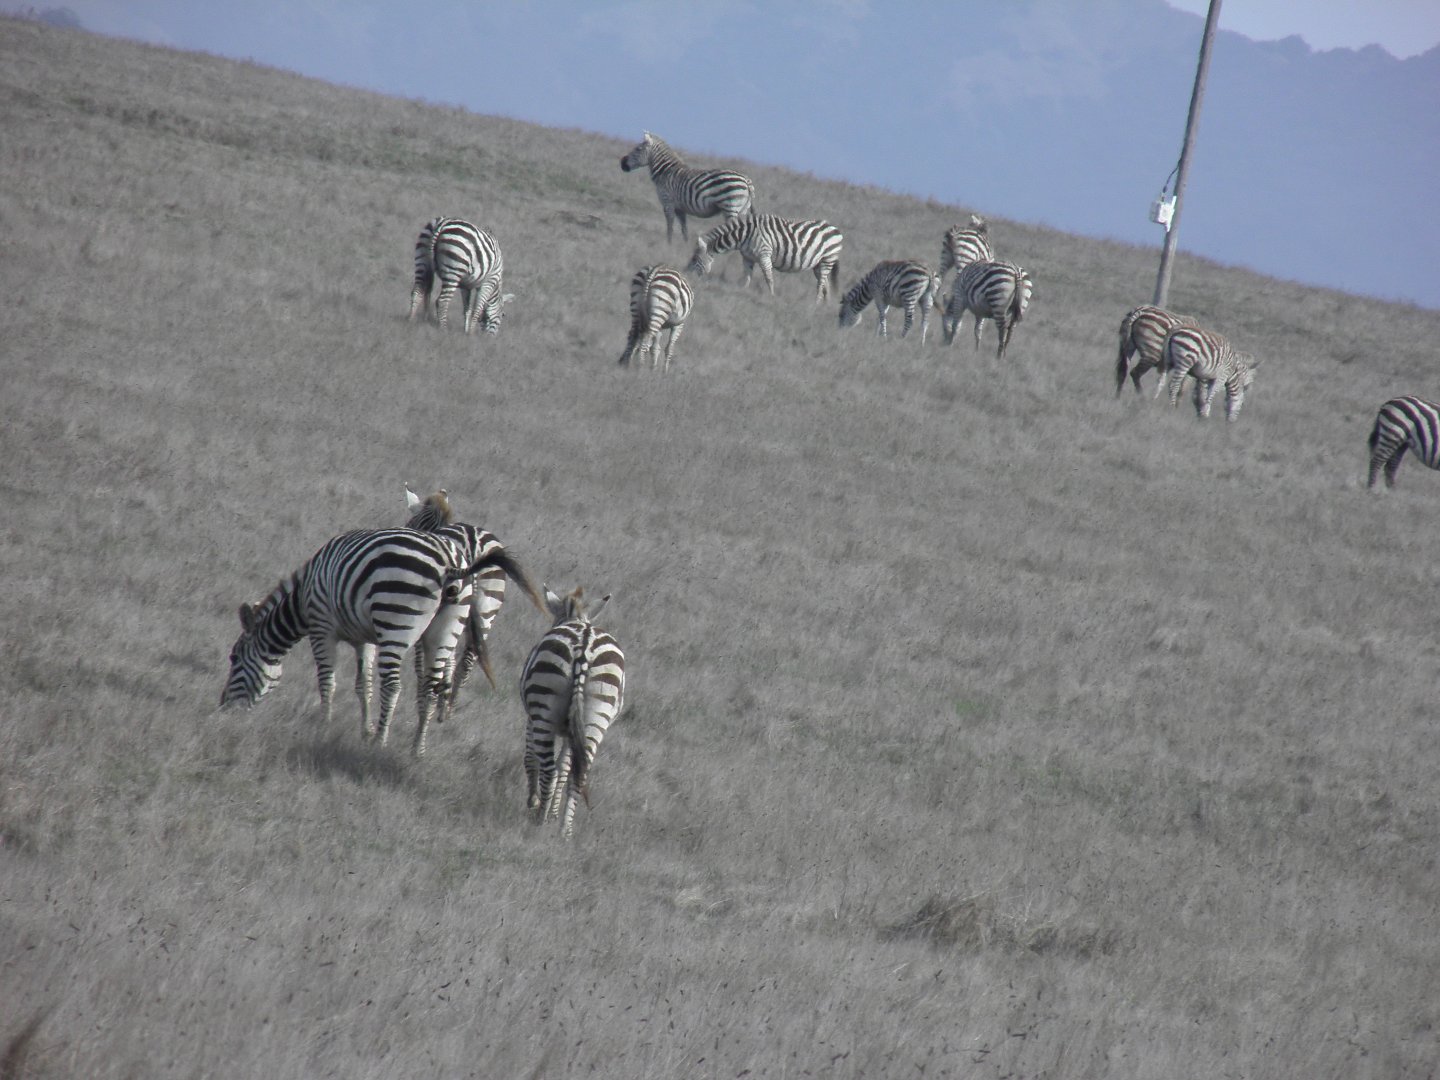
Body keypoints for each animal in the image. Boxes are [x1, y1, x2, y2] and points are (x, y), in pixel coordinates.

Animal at [221, 527, 542, 756]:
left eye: (234, 658)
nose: (222, 710)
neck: (302, 598)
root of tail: (453, 564)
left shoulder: (322, 627)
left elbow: (328, 681)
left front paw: (325, 724)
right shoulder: (365, 639)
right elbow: (364, 685)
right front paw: (364, 730)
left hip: (397, 621)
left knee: (394, 686)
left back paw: (380, 742)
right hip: (446, 629)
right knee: (430, 687)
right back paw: (417, 748)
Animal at [520, 586, 626, 839]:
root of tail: (584, 647)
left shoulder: (531, 719)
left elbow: (531, 759)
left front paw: (535, 802)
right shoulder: (572, 732)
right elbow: (565, 768)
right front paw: (554, 813)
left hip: (544, 710)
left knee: (548, 769)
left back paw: (538, 821)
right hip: (596, 715)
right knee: (580, 774)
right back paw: (564, 832)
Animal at [620, 131, 757, 244]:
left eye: (638, 149)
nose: (622, 163)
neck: (665, 171)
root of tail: (746, 180)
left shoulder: (668, 202)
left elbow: (670, 226)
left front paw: (668, 245)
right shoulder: (680, 208)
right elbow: (684, 229)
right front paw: (684, 245)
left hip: (730, 207)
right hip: (742, 209)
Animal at [688, 214, 843, 302]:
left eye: (695, 259)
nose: (689, 278)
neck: (744, 235)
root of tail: (835, 228)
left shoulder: (764, 254)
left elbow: (769, 277)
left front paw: (771, 296)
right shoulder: (748, 258)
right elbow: (747, 276)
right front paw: (742, 292)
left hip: (828, 259)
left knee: (821, 283)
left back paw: (815, 303)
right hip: (819, 263)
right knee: (825, 283)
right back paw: (825, 305)